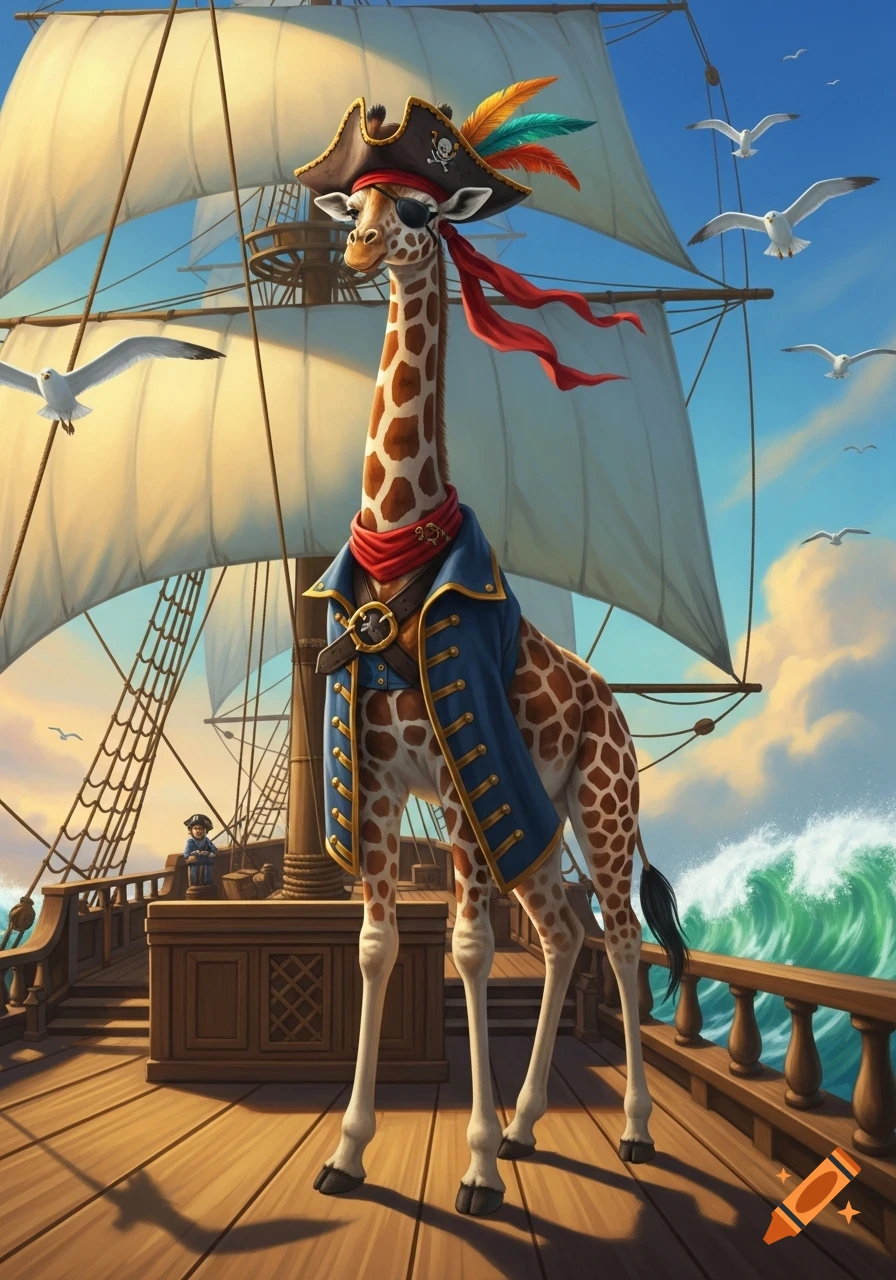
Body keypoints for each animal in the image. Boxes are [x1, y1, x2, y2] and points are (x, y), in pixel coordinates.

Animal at [311, 164, 687, 1218]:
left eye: (417, 209)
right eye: (355, 203)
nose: (358, 248)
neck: (398, 552)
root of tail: (618, 711)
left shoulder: (460, 783)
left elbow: (472, 951)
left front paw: (474, 1165)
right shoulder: (380, 789)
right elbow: (378, 949)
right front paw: (350, 1149)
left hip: (600, 807)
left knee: (621, 937)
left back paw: (632, 1130)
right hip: (542, 821)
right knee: (563, 933)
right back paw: (525, 1125)